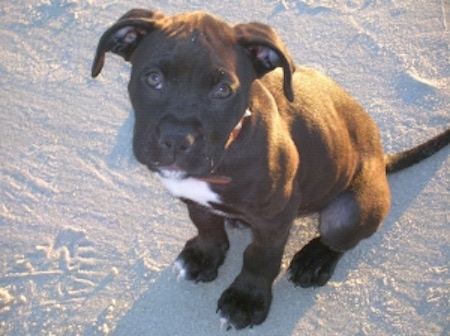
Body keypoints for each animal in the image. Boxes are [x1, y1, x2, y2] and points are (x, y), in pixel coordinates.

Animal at [92, 8, 450, 330]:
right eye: (153, 79)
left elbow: (260, 258)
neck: (230, 145)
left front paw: (246, 300)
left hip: (351, 210)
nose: (177, 140)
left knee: (339, 237)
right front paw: (205, 255)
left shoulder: (274, 217)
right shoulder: (191, 198)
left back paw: (315, 259)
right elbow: (206, 225)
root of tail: (381, 159)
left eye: (223, 90)